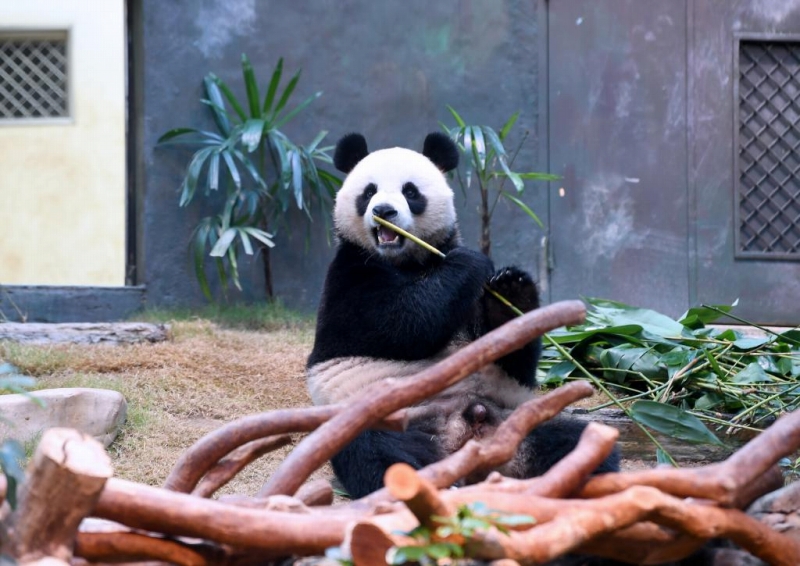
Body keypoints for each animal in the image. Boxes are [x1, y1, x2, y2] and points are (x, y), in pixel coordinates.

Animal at [306, 131, 620, 500]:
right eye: (368, 192)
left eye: (410, 192)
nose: (384, 210)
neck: (408, 259)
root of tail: (467, 440)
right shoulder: (348, 275)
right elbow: (397, 324)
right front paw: (470, 262)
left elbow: (512, 358)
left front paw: (511, 290)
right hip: (387, 417)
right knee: (381, 454)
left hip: (517, 421)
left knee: (575, 438)